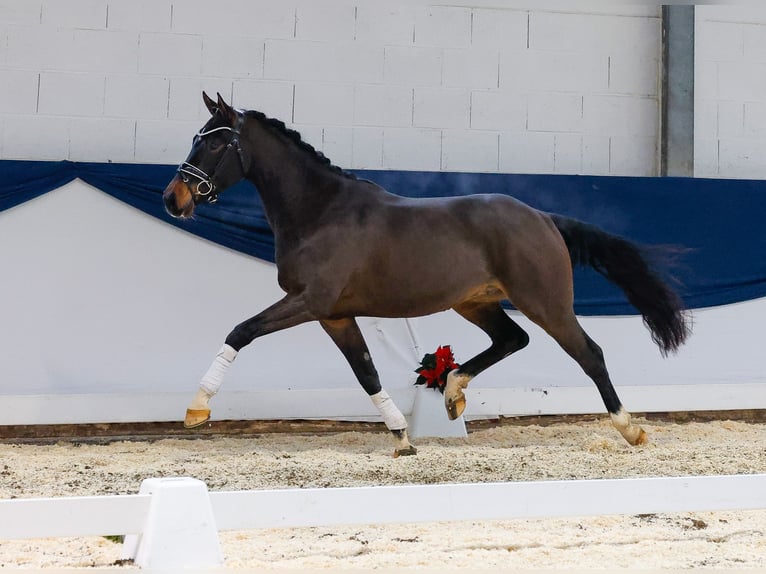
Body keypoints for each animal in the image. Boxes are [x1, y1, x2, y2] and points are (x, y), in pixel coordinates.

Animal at [165, 92, 692, 456]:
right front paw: (402, 438)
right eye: (196, 138)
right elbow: (366, 372)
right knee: (513, 339)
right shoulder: (334, 315)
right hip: (475, 302)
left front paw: (196, 409)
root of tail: (543, 218)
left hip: (546, 302)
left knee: (589, 353)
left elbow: (241, 331)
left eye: (216, 142)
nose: (174, 198)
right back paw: (454, 393)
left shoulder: (309, 302)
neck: (321, 211)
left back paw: (631, 428)